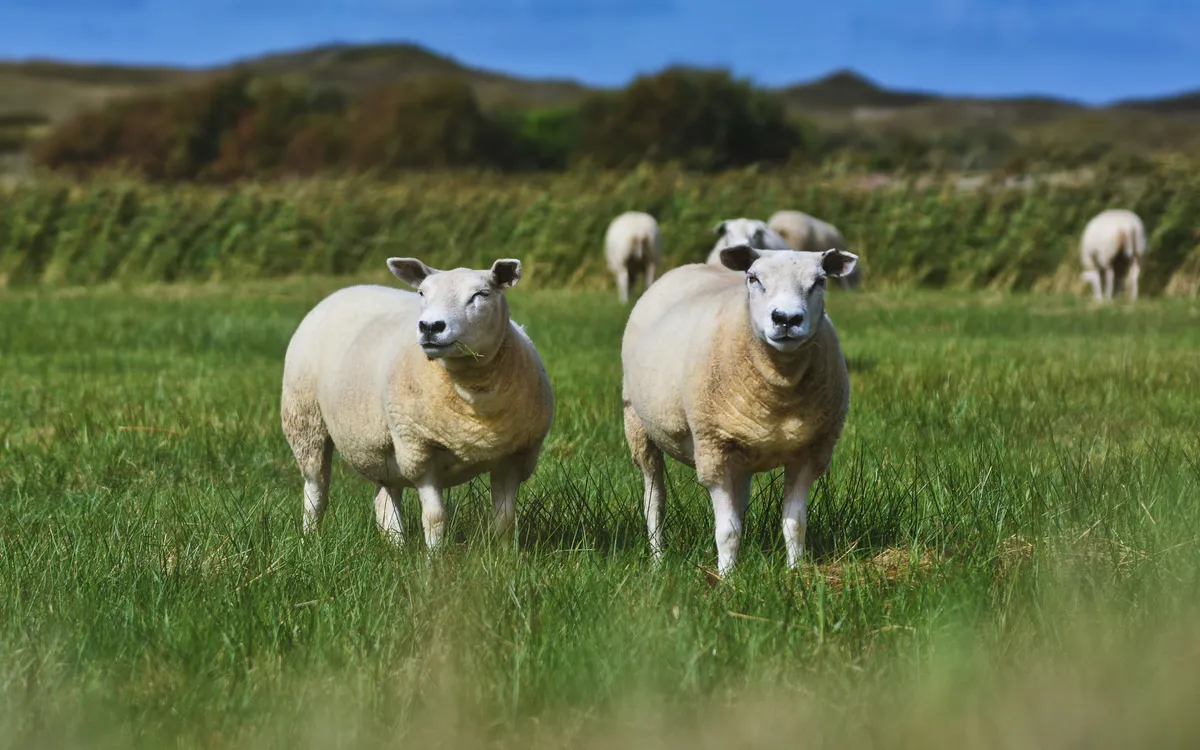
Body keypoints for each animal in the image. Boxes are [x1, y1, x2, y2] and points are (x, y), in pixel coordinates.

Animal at [281, 257, 554, 549]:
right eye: (422, 293)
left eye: (481, 294)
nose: (430, 327)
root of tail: (346, 290)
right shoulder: (419, 451)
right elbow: (435, 518)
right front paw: (434, 559)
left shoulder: (515, 457)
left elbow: (506, 520)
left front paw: (506, 556)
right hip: (305, 420)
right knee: (316, 490)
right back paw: (310, 540)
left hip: (383, 444)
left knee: (385, 496)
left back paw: (396, 546)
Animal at [622, 245, 858, 575]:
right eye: (753, 278)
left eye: (820, 281)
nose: (786, 318)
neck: (779, 388)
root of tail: (690, 266)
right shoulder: (713, 450)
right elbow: (727, 531)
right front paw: (727, 578)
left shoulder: (809, 453)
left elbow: (795, 524)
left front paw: (796, 573)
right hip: (637, 423)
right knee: (654, 498)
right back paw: (658, 559)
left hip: (743, 448)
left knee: (739, 500)